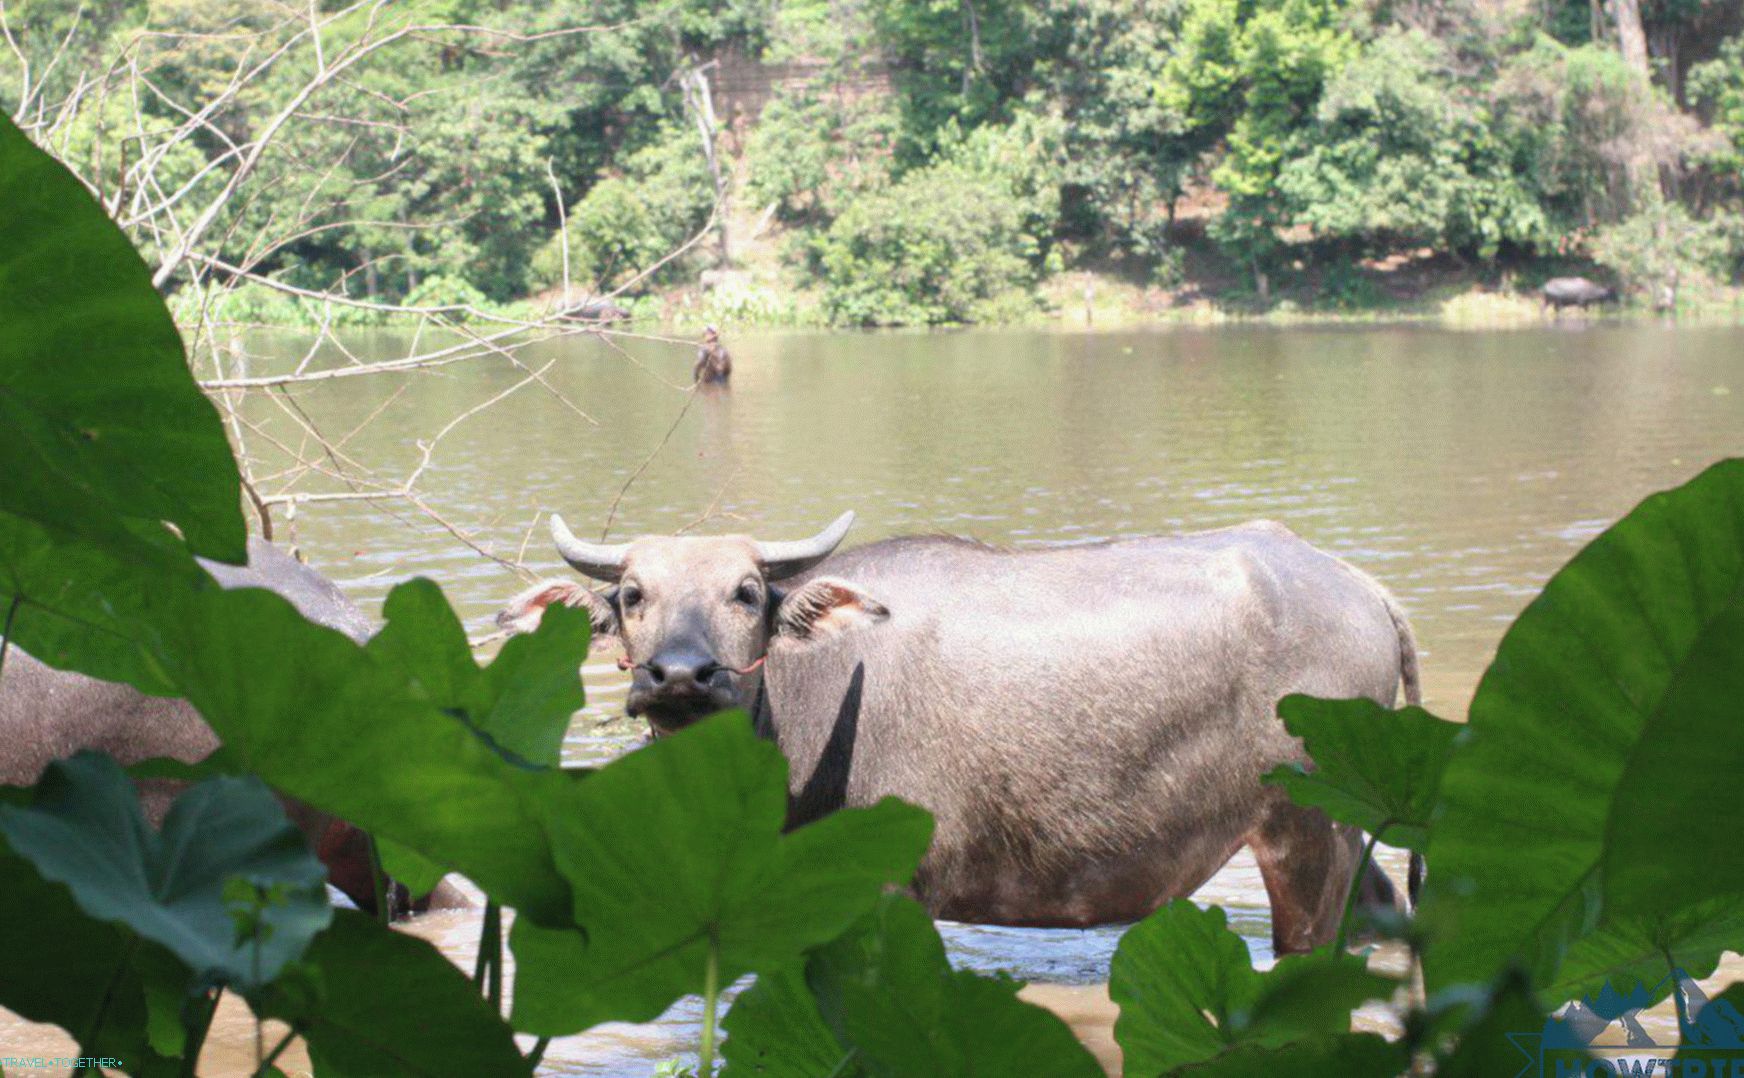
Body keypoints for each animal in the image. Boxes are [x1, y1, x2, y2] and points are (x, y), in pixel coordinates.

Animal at [502, 512, 1416, 948]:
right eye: (633, 595)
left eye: (746, 592)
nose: (681, 674)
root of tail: (1361, 587)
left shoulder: (892, 890)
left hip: (1305, 832)